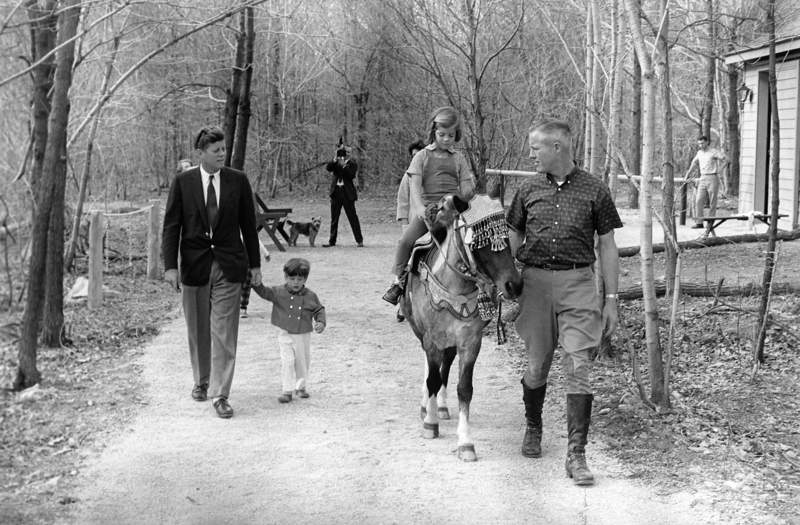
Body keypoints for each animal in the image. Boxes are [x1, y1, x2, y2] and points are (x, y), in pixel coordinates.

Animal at [400, 192, 524, 458]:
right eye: (479, 241)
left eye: (507, 237)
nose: (514, 285)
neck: (455, 290)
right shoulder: (432, 339)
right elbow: (432, 379)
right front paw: (430, 423)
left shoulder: (470, 342)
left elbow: (464, 389)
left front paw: (465, 442)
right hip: (422, 333)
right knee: (431, 370)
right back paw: (427, 406)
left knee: (445, 367)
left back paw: (442, 406)